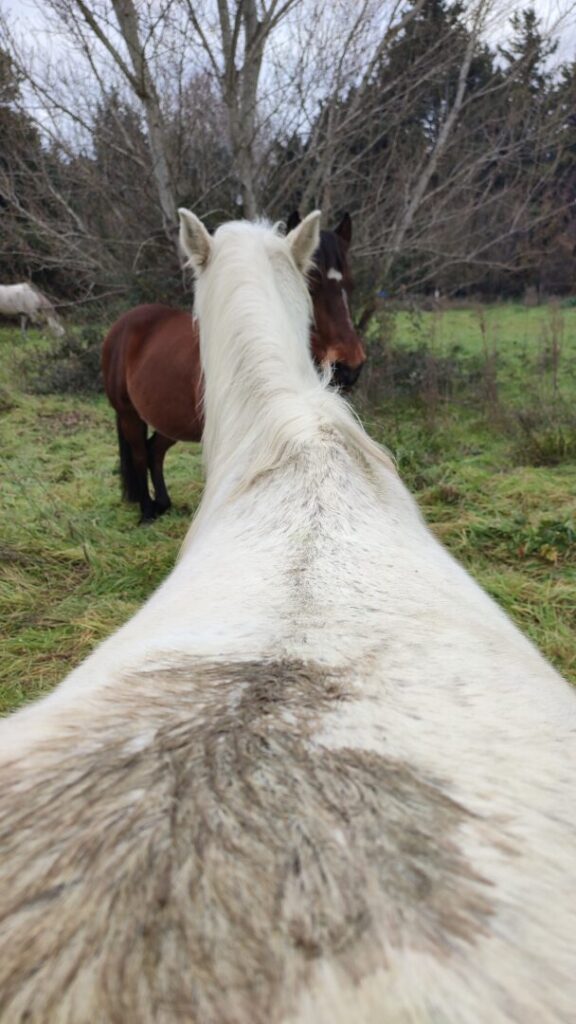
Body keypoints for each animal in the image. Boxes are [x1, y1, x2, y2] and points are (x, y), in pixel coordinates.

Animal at [102, 214, 365, 522]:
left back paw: (163, 504)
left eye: (351, 284)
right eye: (311, 282)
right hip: (128, 414)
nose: (350, 366)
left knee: (154, 450)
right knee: (141, 454)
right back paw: (147, 512)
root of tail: (124, 323)